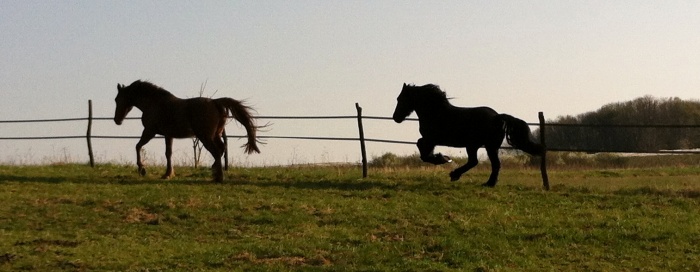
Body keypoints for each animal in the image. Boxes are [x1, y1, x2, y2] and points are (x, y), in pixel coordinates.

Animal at [115, 81, 260, 183]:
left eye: (117, 99)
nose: (117, 120)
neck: (155, 104)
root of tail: (215, 102)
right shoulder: (168, 135)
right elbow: (168, 153)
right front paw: (168, 174)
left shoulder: (150, 131)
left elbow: (138, 146)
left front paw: (142, 169)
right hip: (215, 135)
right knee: (221, 149)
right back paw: (214, 171)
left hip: (205, 136)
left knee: (216, 151)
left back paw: (218, 177)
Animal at [392, 83, 544, 187]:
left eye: (401, 99)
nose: (396, 117)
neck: (436, 113)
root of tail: (498, 117)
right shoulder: (431, 140)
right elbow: (422, 148)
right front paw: (442, 158)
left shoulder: (432, 139)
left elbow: (423, 150)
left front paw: (443, 159)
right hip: (479, 146)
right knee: (477, 162)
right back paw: (464, 177)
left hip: (484, 146)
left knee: (489, 163)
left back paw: (483, 182)